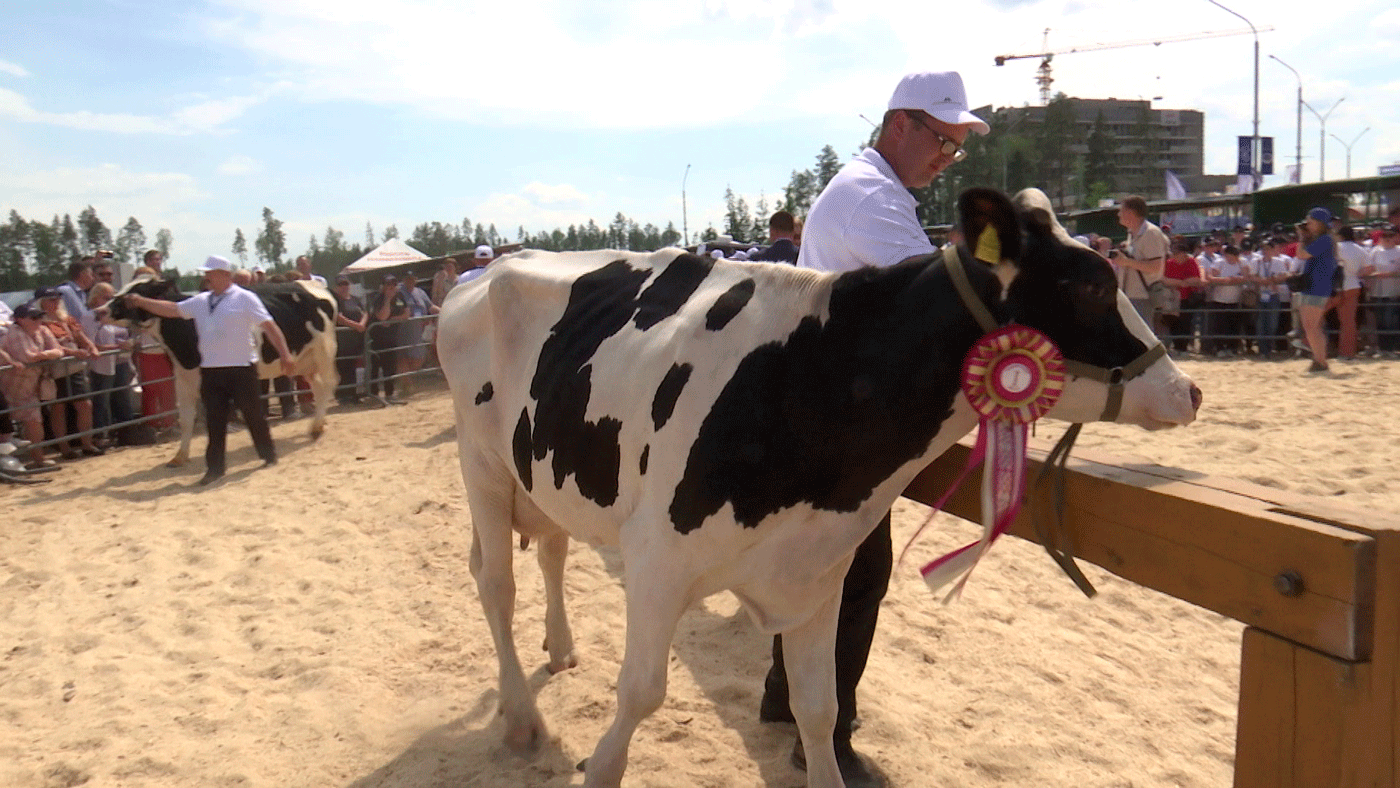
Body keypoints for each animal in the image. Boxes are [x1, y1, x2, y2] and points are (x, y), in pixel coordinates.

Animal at [109, 275, 338, 464]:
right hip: (303, 360)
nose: (105, 308)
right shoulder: (183, 379)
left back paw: (317, 427)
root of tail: (314, 284)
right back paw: (318, 424)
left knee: (327, 385)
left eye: (138, 290)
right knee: (319, 388)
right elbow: (186, 419)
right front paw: (179, 456)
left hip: (324, 352)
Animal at [436, 187, 1204, 783]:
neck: (809, 382)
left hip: (542, 470)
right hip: (481, 460)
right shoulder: (656, 560)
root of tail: (491, 268)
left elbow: (818, 706)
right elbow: (642, 693)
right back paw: (520, 718)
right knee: (494, 581)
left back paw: (561, 648)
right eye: (1092, 285)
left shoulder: (816, 570)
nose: (1188, 390)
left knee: (551, 547)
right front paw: (600, 764)